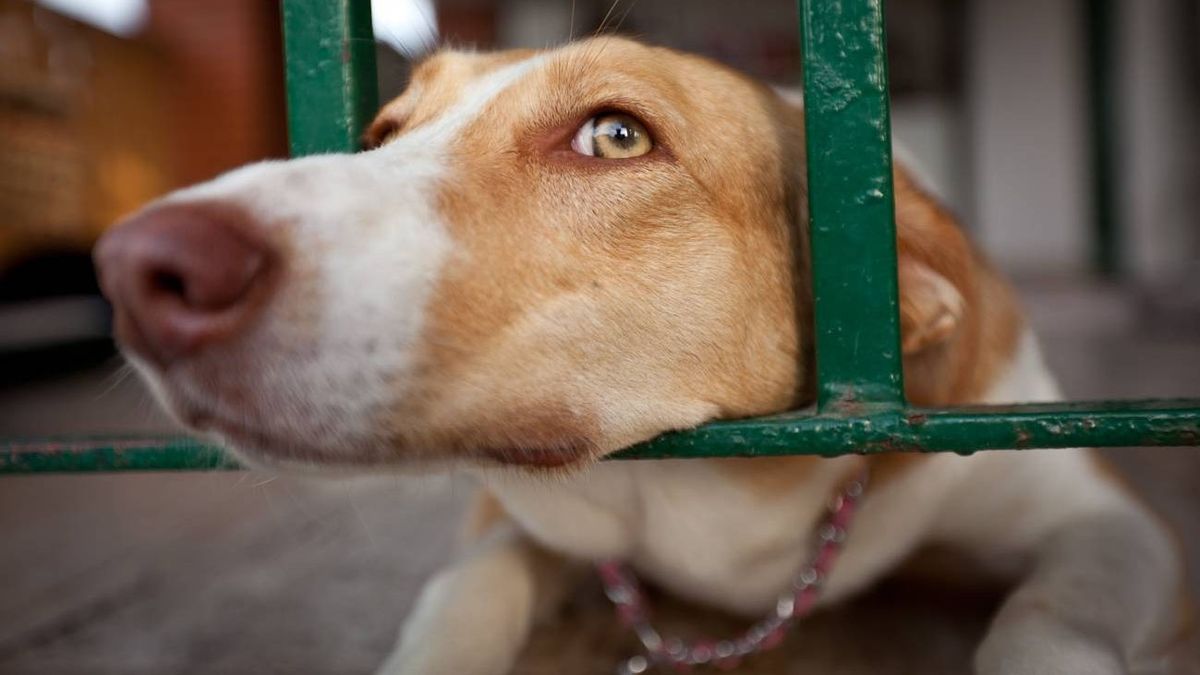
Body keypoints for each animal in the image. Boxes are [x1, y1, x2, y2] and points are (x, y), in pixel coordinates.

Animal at [96, 38, 1190, 672]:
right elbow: (463, 588)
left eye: (616, 136)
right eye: (382, 132)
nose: (136, 269)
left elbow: (1052, 621)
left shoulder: (1103, 518)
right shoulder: (512, 513)